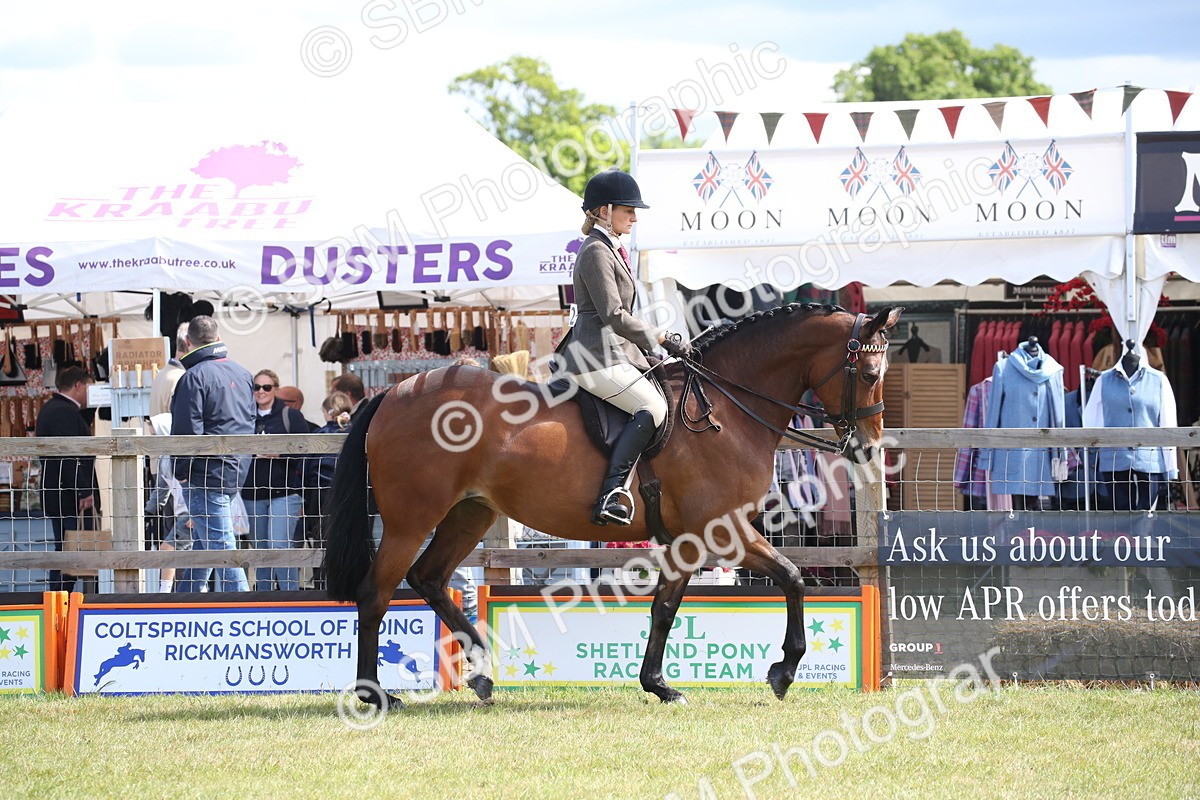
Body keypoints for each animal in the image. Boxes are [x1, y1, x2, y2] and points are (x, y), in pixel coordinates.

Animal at [324, 303, 902, 709]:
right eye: (870, 375)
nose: (868, 449)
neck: (725, 410)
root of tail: (395, 392)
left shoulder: (687, 540)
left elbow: (665, 608)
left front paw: (659, 685)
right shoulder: (722, 530)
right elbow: (794, 578)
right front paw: (783, 672)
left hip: (470, 513)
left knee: (428, 578)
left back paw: (483, 672)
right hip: (410, 520)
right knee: (375, 595)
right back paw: (376, 694)